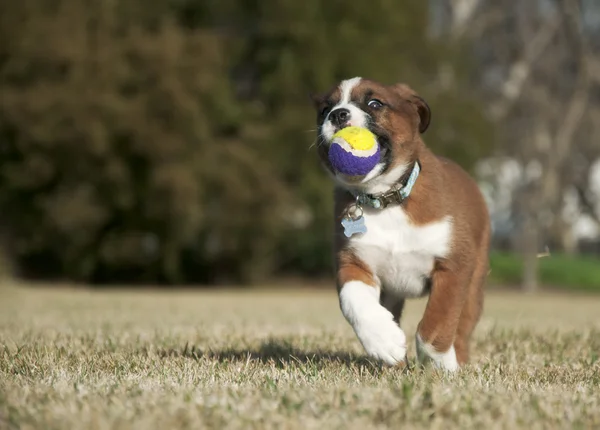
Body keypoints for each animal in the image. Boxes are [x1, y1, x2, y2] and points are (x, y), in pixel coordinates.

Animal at [312, 76, 490, 370]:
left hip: (474, 283)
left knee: (463, 327)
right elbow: (353, 301)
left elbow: (437, 322)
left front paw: (439, 365)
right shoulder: (353, 263)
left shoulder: (453, 267)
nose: (338, 114)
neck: (385, 199)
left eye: (375, 103)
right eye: (325, 109)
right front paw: (384, 342)